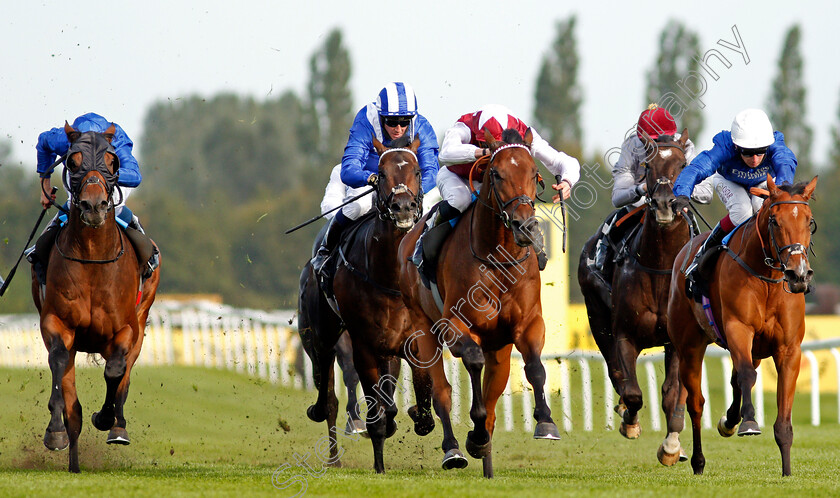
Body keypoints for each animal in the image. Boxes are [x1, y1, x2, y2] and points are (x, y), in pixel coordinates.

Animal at [31, 122, 161, 472]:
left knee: (124, 373)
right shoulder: (56, 323)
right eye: (72, 161)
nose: (93, 205)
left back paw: (117, 424)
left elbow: (115, 371)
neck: (92, 257)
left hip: (141, 321)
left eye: (112, 161)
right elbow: (59, 362)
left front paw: (106, 419)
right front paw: (55, 431)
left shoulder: (126, 329)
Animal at [296, 136, 460, 474]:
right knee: (327, 395)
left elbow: (422, 398)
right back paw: (332, 451)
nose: (403, 207)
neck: (390, 277)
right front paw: (379, 463)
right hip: (318, 334)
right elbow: (375, 410)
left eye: (416, 171)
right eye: (381, 174)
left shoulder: (415, 340)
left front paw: (416, 416)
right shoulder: (363, 345)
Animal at [398, 128, 556, 478]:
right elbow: (471, 361)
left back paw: (488, 465)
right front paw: (476, 435)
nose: (525, 226)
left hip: (499, 347)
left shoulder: (528, 324)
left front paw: (546, 421)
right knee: (442, 392)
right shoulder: (453, 325)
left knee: (494, 393)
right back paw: (453, 449)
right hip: (423, 326)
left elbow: (535, 367)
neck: (498, 258)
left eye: (534, 173)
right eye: (496, 173)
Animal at [580, 131, 692, 444]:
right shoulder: (624, 334)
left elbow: (671, 393)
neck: (660, 268)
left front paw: (672, 443)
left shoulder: (676, 340)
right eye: (648, 165)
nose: (664, 203)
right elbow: (631, 392)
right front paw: (629, 422)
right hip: (597, 319)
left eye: (683, 164)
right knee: (616, 373)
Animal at [660, 175, 816, 474]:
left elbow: (782, 415)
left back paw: (728, 421)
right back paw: (696, 460)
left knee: (733, 382)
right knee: (695, 402)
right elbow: (745, 375)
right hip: (689, 346)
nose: (798, 274)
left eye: (808, 220)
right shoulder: (738, 329)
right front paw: (750, 422)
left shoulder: (789, 348)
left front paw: (787, 470)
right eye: (775, 221)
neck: (768, 280)